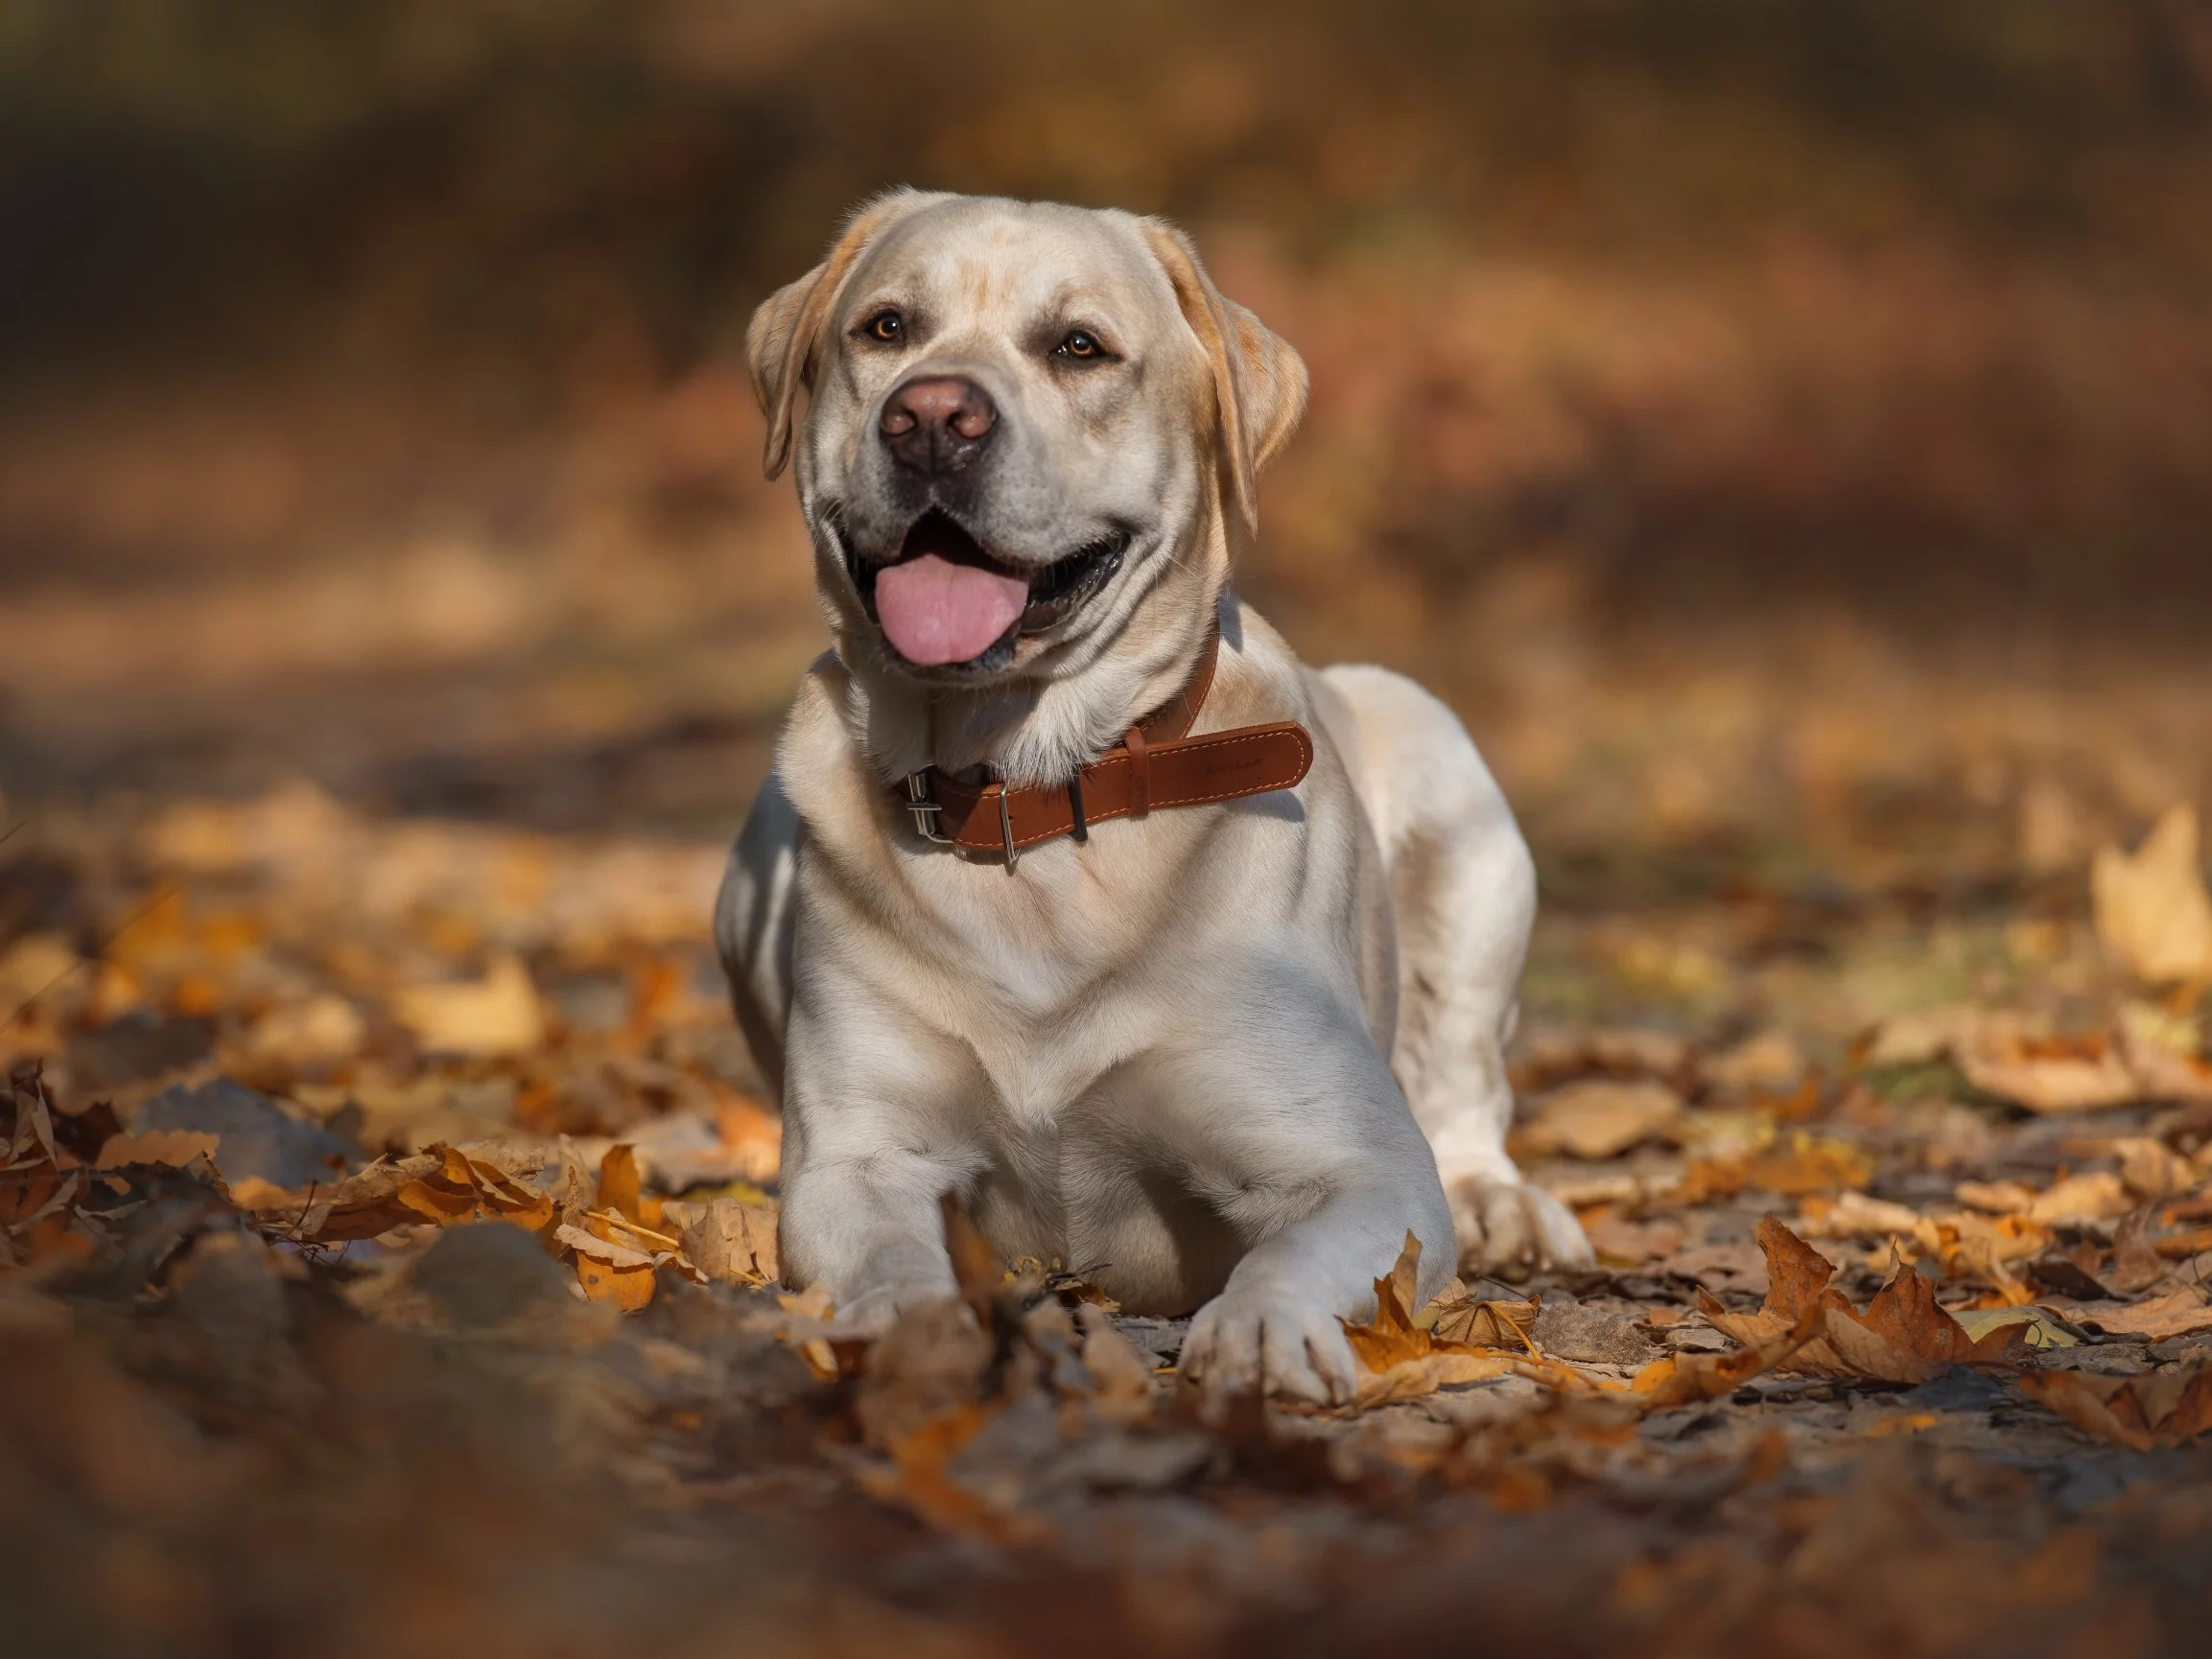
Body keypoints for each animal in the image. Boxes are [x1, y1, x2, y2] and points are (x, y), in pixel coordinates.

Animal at [717, 191, 1584, 1407]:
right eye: (885, 329)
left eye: (1079, 346)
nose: (930, 417)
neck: (1030, 794)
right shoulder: (855, 1158)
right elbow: (891, 1252)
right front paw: (912, 1327)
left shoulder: (1358, 1167)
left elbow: (1302, 1248)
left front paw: (1260, 1331)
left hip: (1455, 797)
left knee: (1462, 1077)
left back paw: (1500, 1197)